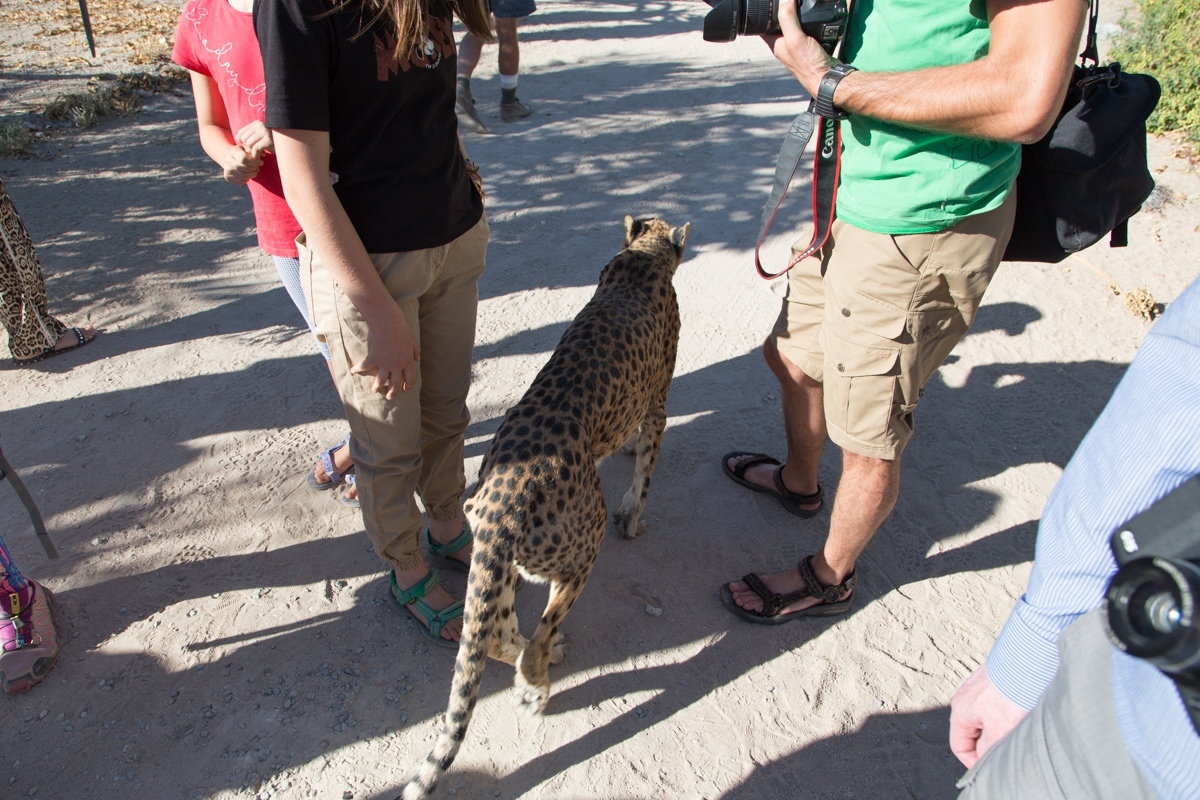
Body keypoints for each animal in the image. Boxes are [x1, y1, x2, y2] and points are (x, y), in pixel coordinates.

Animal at [400, 215, 691, 796]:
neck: (643, 258)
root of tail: (498, 498)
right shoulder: (659, 402)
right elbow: (646, 470)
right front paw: (636, 517)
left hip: (503, 566)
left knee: (496, 634)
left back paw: (535, 658)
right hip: (581, 543)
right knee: (539, 630)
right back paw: (537, 682)